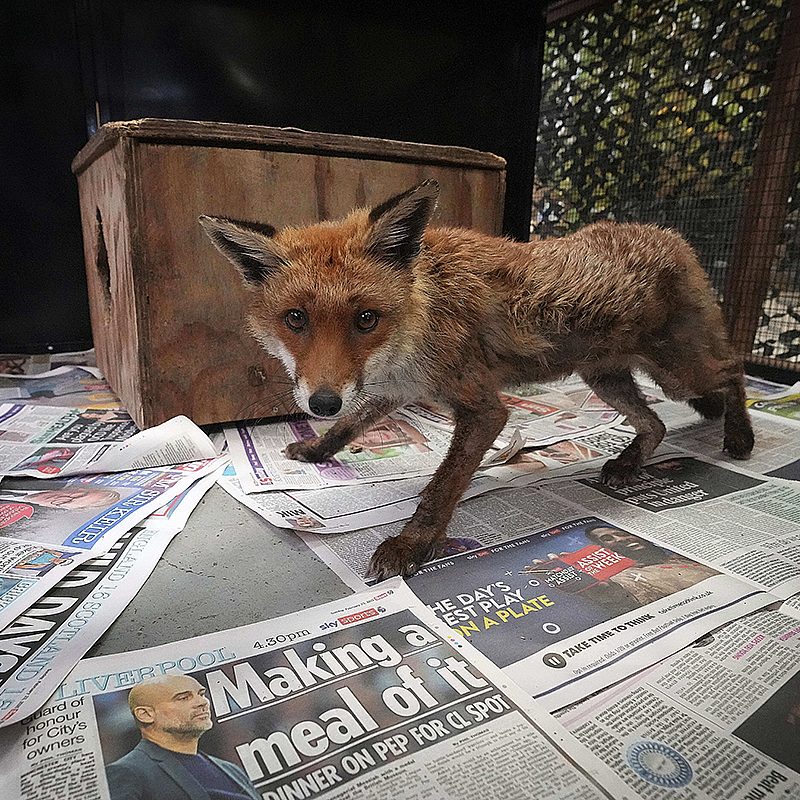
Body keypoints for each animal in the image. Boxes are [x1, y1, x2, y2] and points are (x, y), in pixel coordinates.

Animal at [199, 179, 754, 580]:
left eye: (365, 319)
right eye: (295, 319)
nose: (321, 402)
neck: (420, 317)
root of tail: (671, 235)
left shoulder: (483, 408)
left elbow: (441, 489)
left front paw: (411, 544)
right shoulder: (393, 388)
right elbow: (350, 426)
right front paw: (317, 447)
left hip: (678, 372)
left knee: (732, 370)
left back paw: (739, 434)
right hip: (605, 377)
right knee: (656, 425)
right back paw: (629, 463)